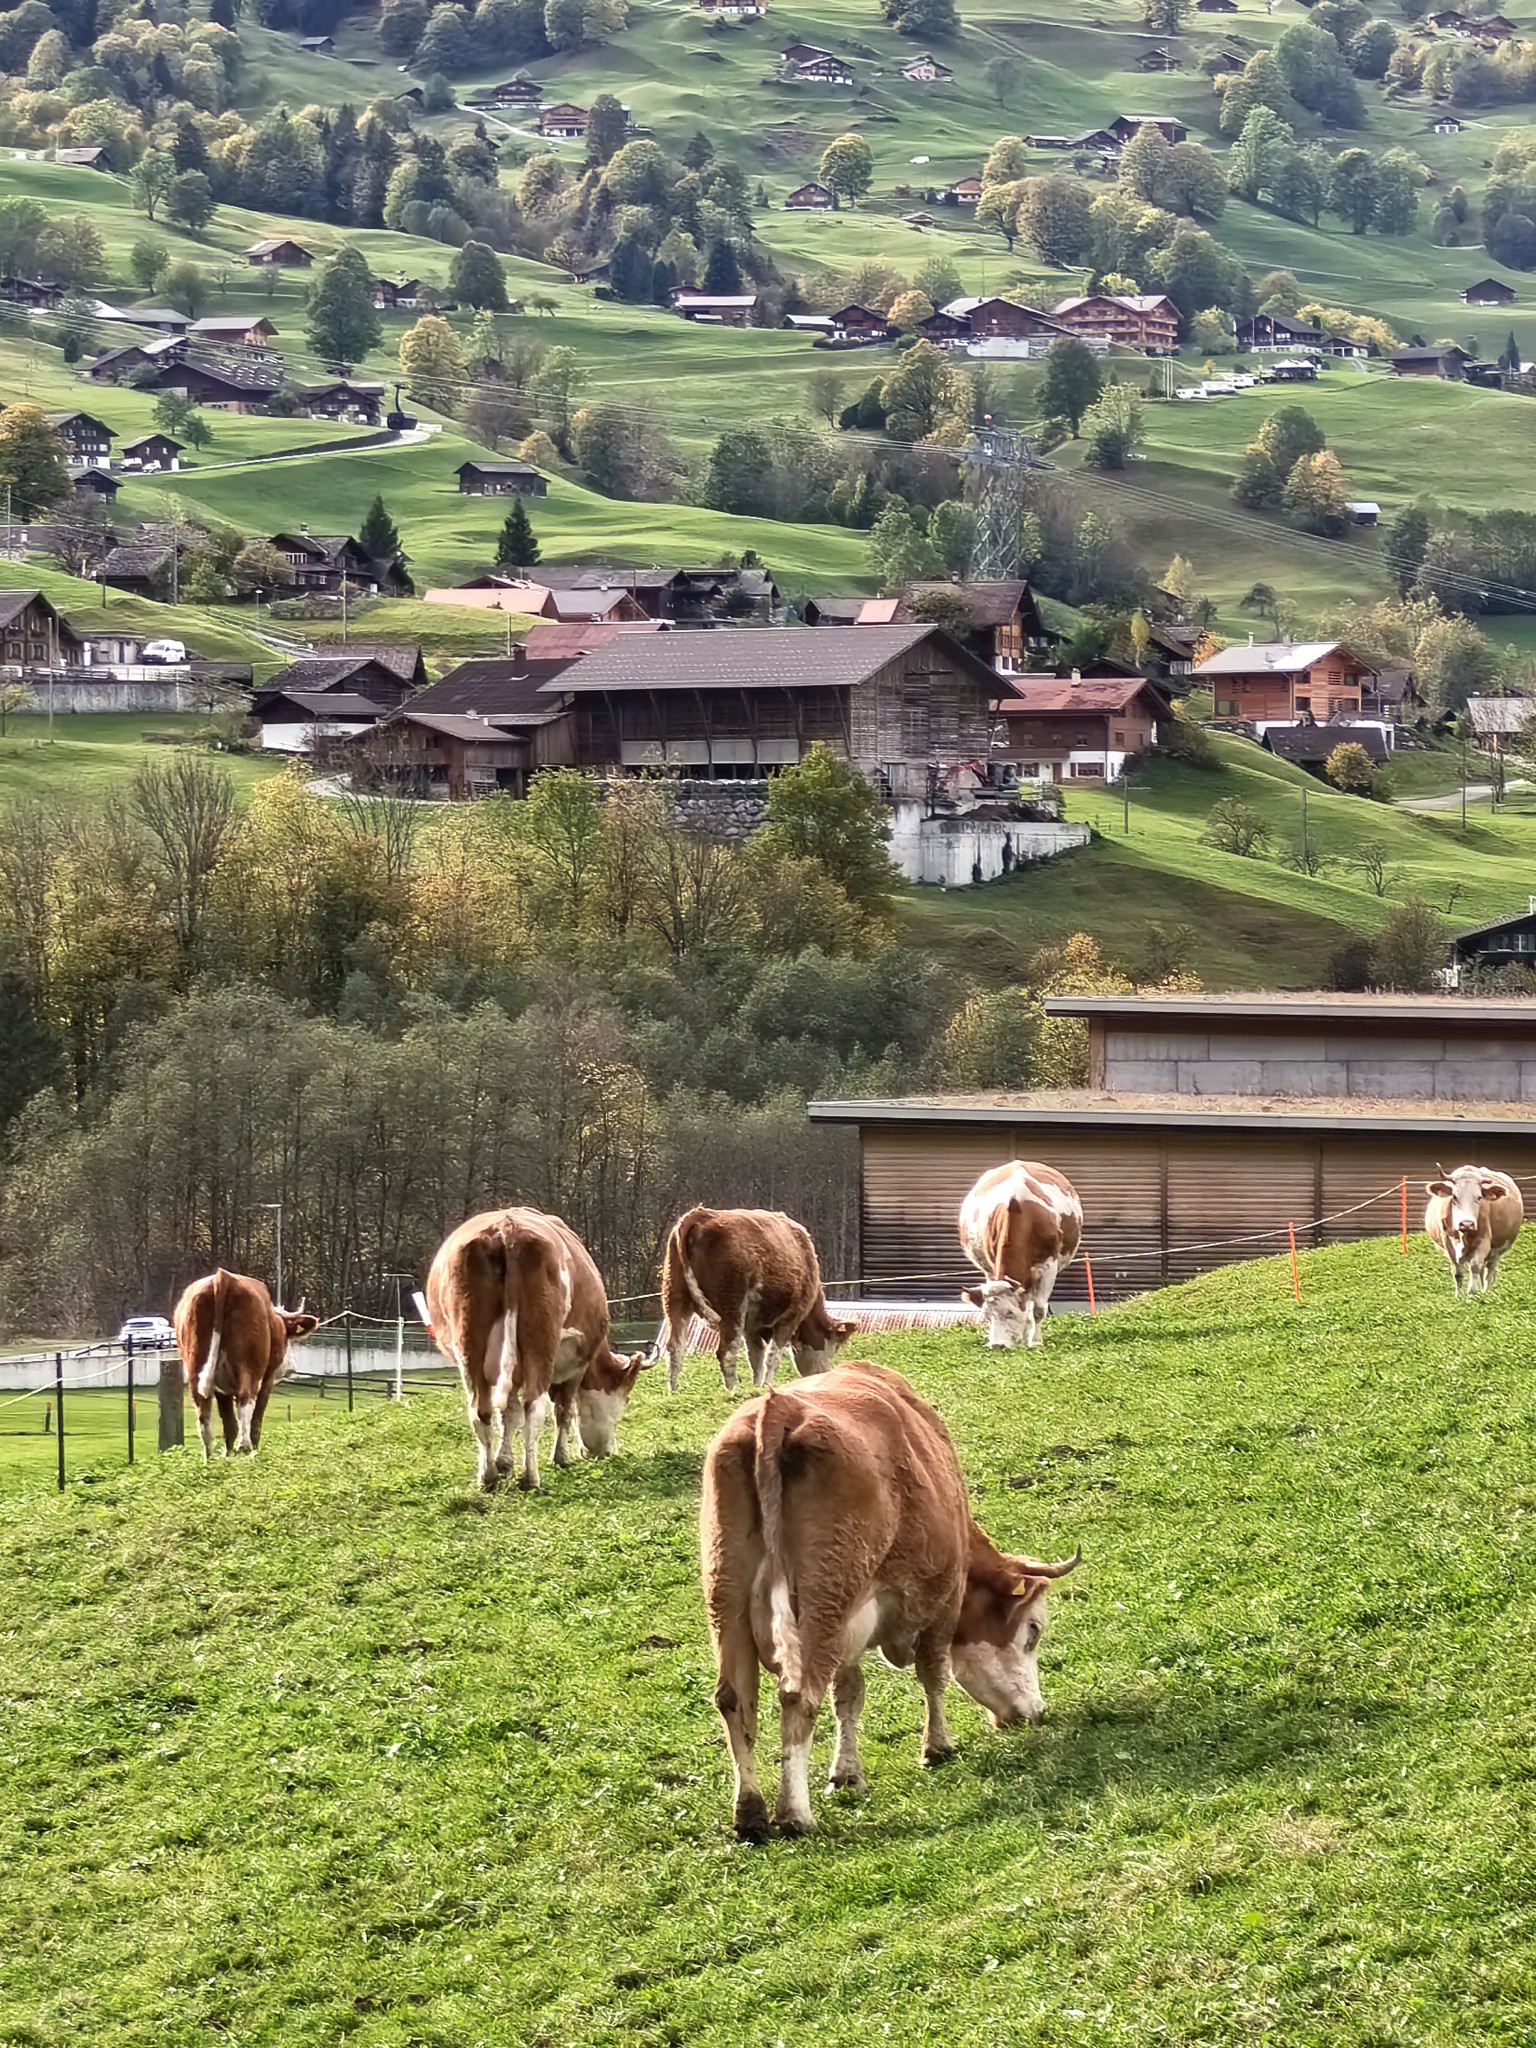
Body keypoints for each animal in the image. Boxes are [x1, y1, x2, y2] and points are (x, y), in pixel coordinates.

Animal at [173, 1261, 319, 1458]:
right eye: (286, 1337)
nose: (291, 1368)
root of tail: (223, 1278)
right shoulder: (267, 1380)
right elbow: (256, 1420)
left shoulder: (222, 1389)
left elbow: (228, 1423)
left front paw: (228, 1454)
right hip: (251, 1368)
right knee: (246, 1400)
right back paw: (246, 1447)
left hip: (195, 1366)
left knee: (204, 1415)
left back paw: (211, 1457)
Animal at [423, 1204, 651, 1499]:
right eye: (626, 1399)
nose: (608, 1452)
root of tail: (506, 1230)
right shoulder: (576, 1364)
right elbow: (563, 1410)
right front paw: (560, 1457)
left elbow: (508, 1414)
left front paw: (504, 1463)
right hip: (540, 1345)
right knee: (534, 1408)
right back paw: (530, 1478)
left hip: (470, 1347)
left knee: (481, 1411)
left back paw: (488, 1477)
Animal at [655, 1196, 860, 1392]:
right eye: (833, 1346)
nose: (825, 1373)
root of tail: (701, 1215)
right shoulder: (790, 1317)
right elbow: (772, 1356)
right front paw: (766, 1387)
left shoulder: (751, 1326)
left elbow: (756, 1358)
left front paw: (756, 1386)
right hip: (731, 1305)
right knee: (726, 1352)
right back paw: (733, 1391)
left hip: (674, 1297)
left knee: (675, 1348)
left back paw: (674, 1392)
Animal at [700, 1359, 1081, 1843]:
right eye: (1033, 1630)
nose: (1036, 1712)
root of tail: (777, 1410)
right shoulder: (941, 1598)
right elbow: (933, 1673)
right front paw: (937, 1747)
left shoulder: (852, 1629)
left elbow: (849, 1694)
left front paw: (846, 1774)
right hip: (823, 1601)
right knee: (799, 1695)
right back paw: (794, 1814)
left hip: (728, 1596)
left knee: (735, 1699)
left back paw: (749, 1813)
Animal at [958, 1163, 1089, 1351]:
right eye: (987, 1316)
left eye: (1010, 1312)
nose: (997, 1345)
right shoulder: (991, 1268)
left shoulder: (1049, 1266)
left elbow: (1038, 1309)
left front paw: (1035, 1341)